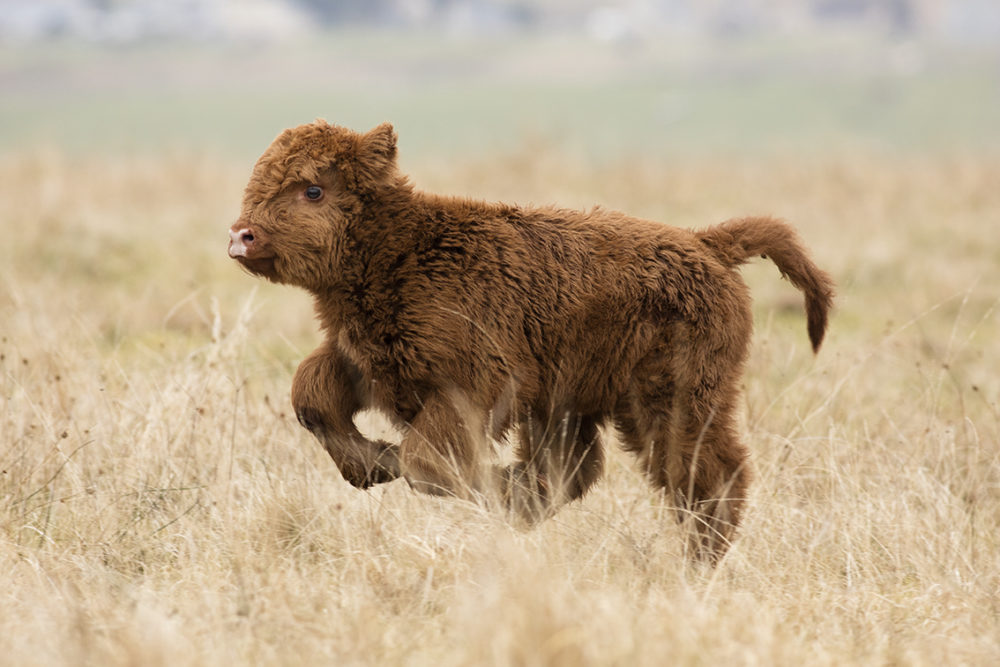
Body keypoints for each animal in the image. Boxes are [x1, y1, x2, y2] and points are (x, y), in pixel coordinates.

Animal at [230, 121, 832, 564]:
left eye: (313, 188)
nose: (242, 235)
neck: (404, 247)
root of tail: (706, 243)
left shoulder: (474, 387)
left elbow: (426, 461)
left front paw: (462, 478)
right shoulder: (368, 362)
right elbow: (312, 398)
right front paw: (373, 465)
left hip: (673, 397)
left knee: (702, 471)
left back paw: (698, 560)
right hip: (573, 402)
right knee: (577, 467)